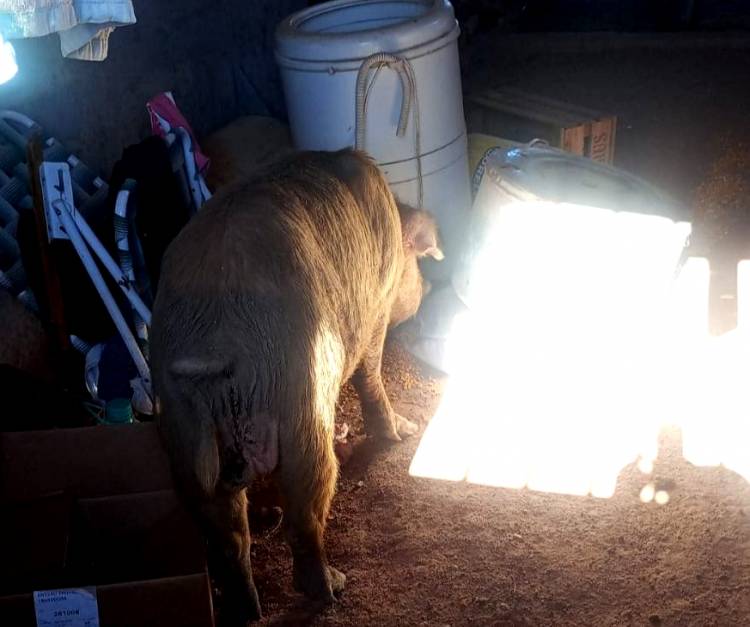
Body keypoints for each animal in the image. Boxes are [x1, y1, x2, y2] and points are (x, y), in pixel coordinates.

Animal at [151, 148, 442, 624]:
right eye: (416, 264)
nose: (430, 286)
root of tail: (214, 337)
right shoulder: (374, 312)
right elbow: (371, 373)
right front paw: (404, 432)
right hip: (300, 399)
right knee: (305, 510)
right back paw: (332, 586)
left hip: (180, 429)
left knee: (229, 534)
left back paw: (249, 607)